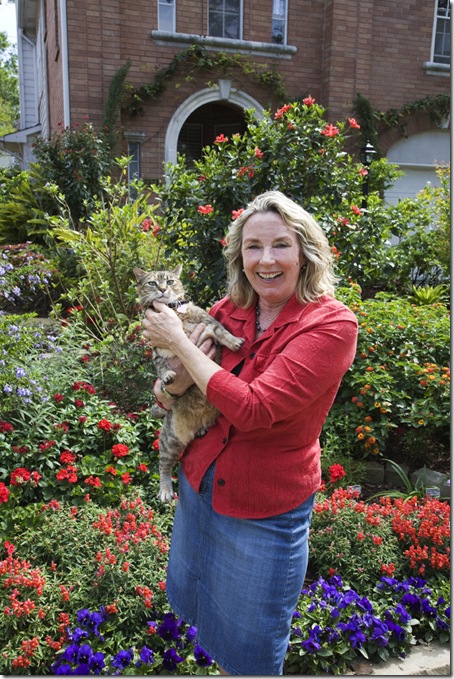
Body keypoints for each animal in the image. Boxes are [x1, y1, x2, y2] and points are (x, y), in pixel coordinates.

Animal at [133, 268, 243, 502]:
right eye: (152, 283)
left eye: (170, 281)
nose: (162, 289)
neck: (175, 313)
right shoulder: (157, 350)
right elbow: (161, 366)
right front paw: (166, 375)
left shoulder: (207, 323)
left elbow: (222, 331)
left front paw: (234, 341)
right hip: (170, 439)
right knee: (164, 465)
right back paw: (165, 490)